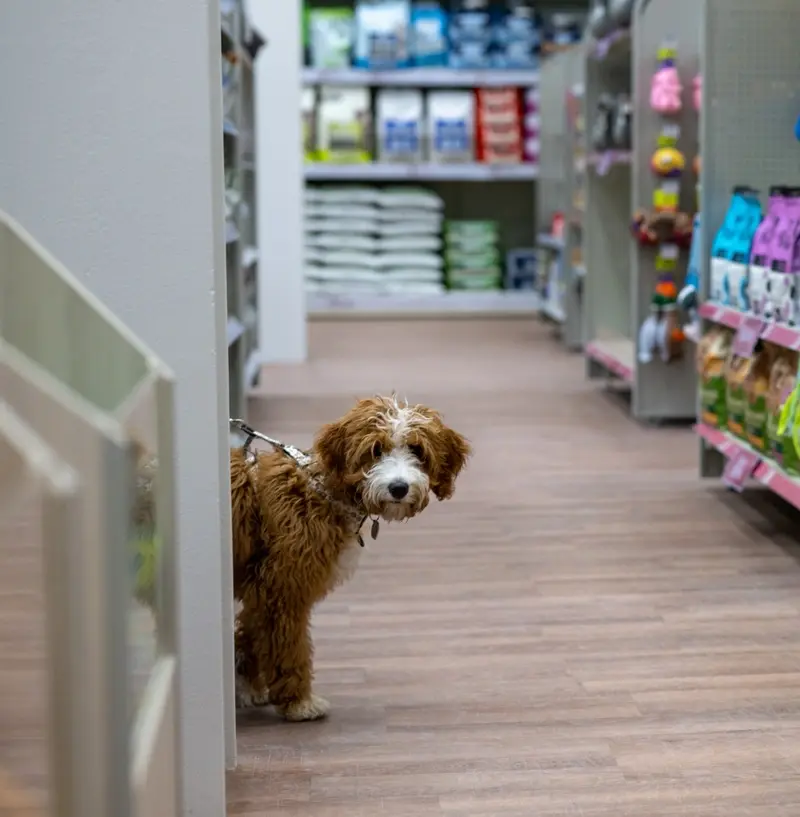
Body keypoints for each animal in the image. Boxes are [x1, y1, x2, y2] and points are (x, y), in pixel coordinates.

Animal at [230, 396, 468, 720]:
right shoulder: (282, 588)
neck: (322, 492)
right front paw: (298, 701)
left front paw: (245, 685)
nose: (398, 488)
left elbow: (252, 633)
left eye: (416, 449)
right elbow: (288, 645)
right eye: (375, 450)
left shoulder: (262, 587)